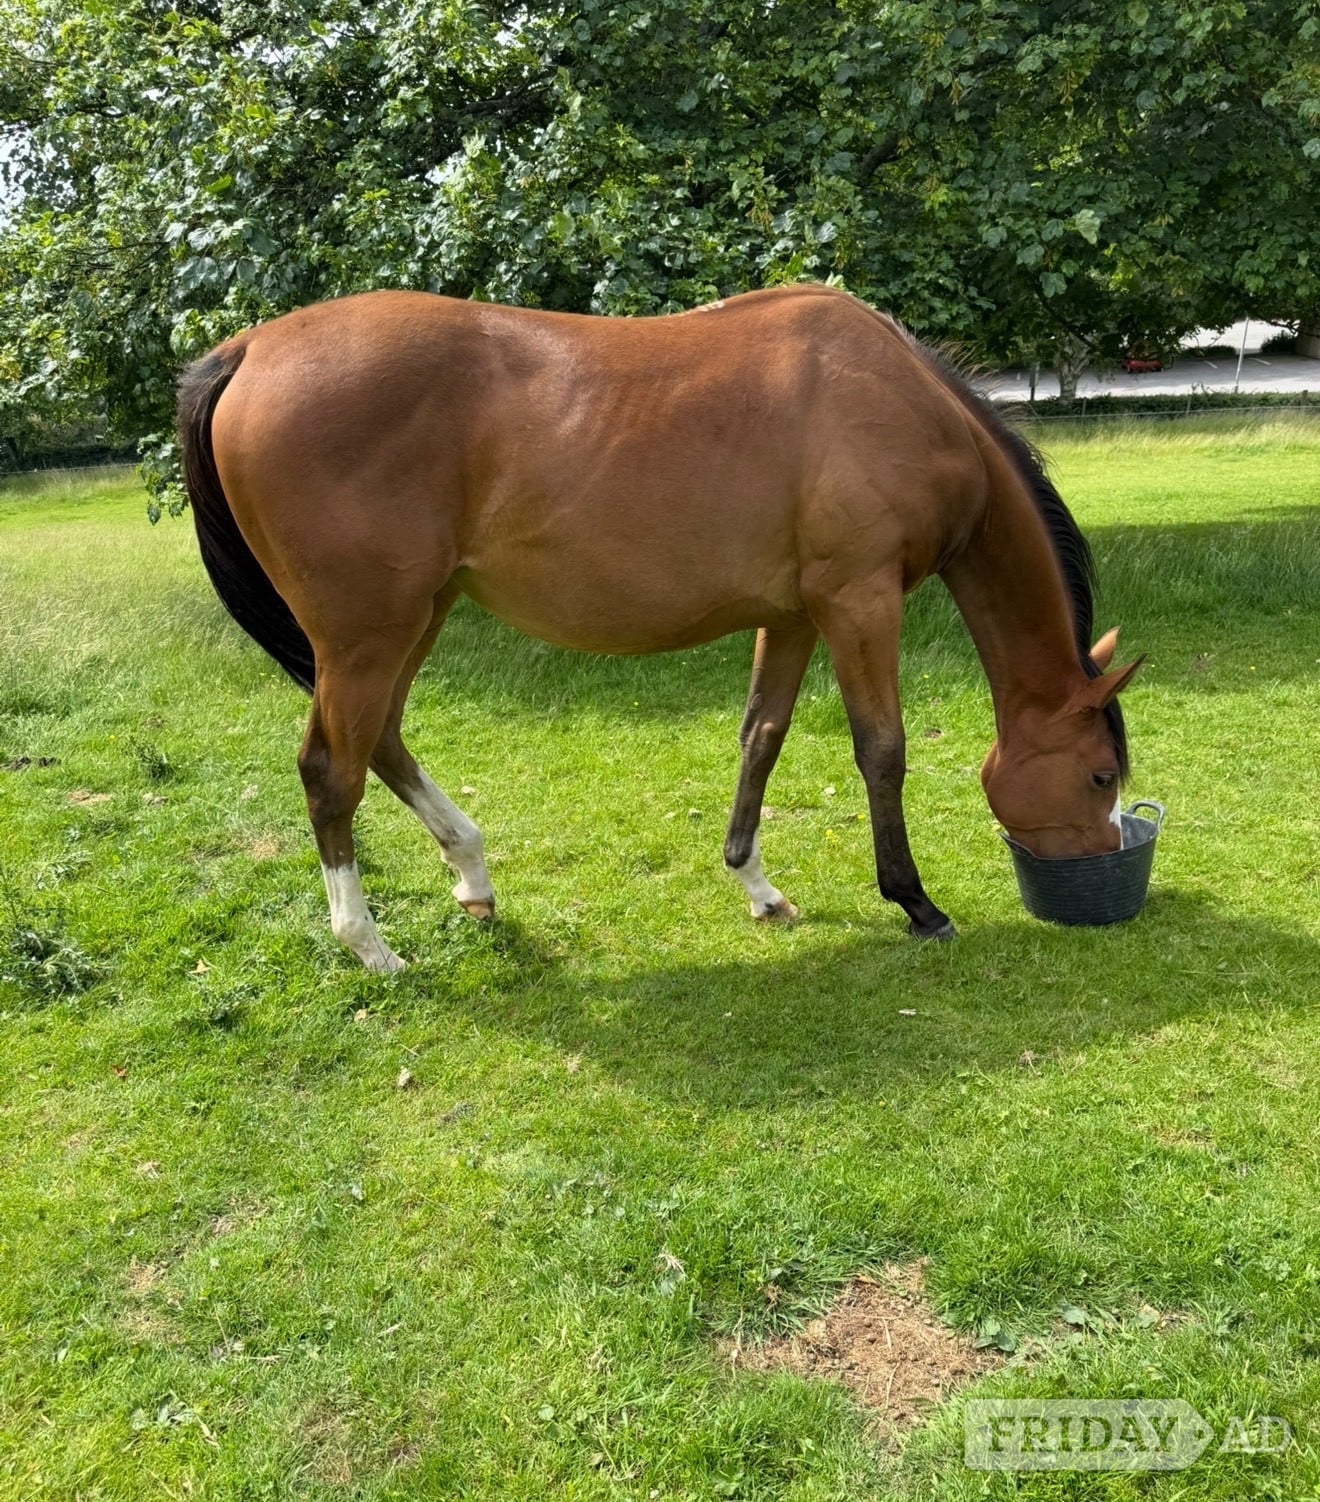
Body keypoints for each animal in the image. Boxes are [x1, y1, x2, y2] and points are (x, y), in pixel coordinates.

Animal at [177, 284, 1141, 972]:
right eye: (1099, 775)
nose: (1103, 860)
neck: (902, 401)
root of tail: (250, 348)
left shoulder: (794, 614)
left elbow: (762, 735)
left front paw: (757, 884)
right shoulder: (859, 600)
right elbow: (882, 749)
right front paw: (916, 903)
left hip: (412, 620)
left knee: (381, 742)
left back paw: (473, 876)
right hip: (368, 637)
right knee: (329, 771)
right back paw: (370, 946)